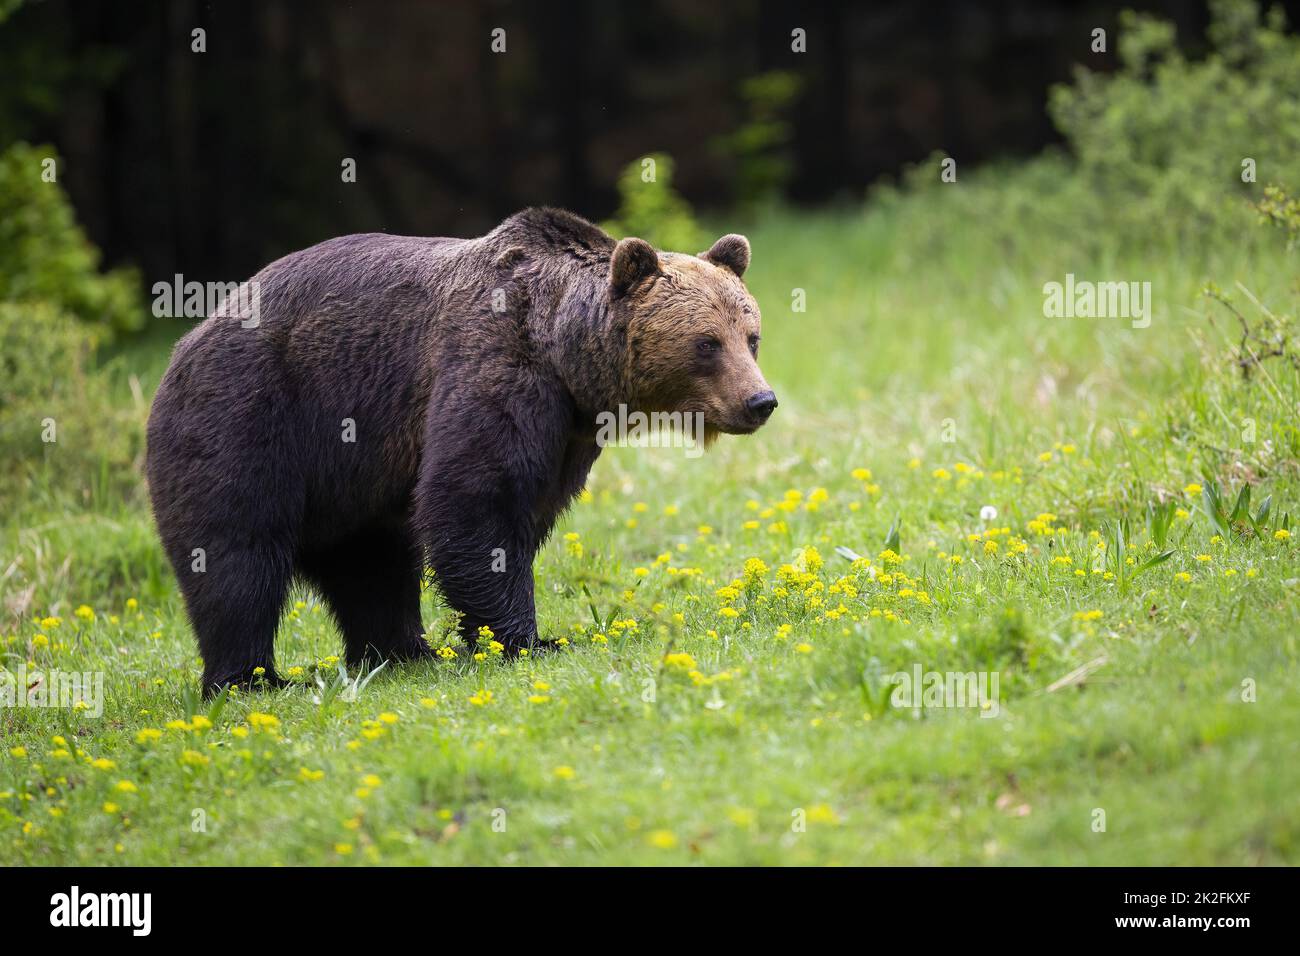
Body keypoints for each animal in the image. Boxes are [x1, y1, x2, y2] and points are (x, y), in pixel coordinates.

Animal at [144, 209, 769, 691]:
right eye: (706, 343)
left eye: (751, 336)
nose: (760, 400)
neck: (566, 360)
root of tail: (184, 343)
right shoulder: (494, 367)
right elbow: (475, 498)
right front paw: (527, 640)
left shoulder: (568, 433)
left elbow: (520, 510)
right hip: (248, 416)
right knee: (236, 552)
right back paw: (251, 679)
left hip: (351, 475)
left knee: (370, 560)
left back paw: (400, 652)